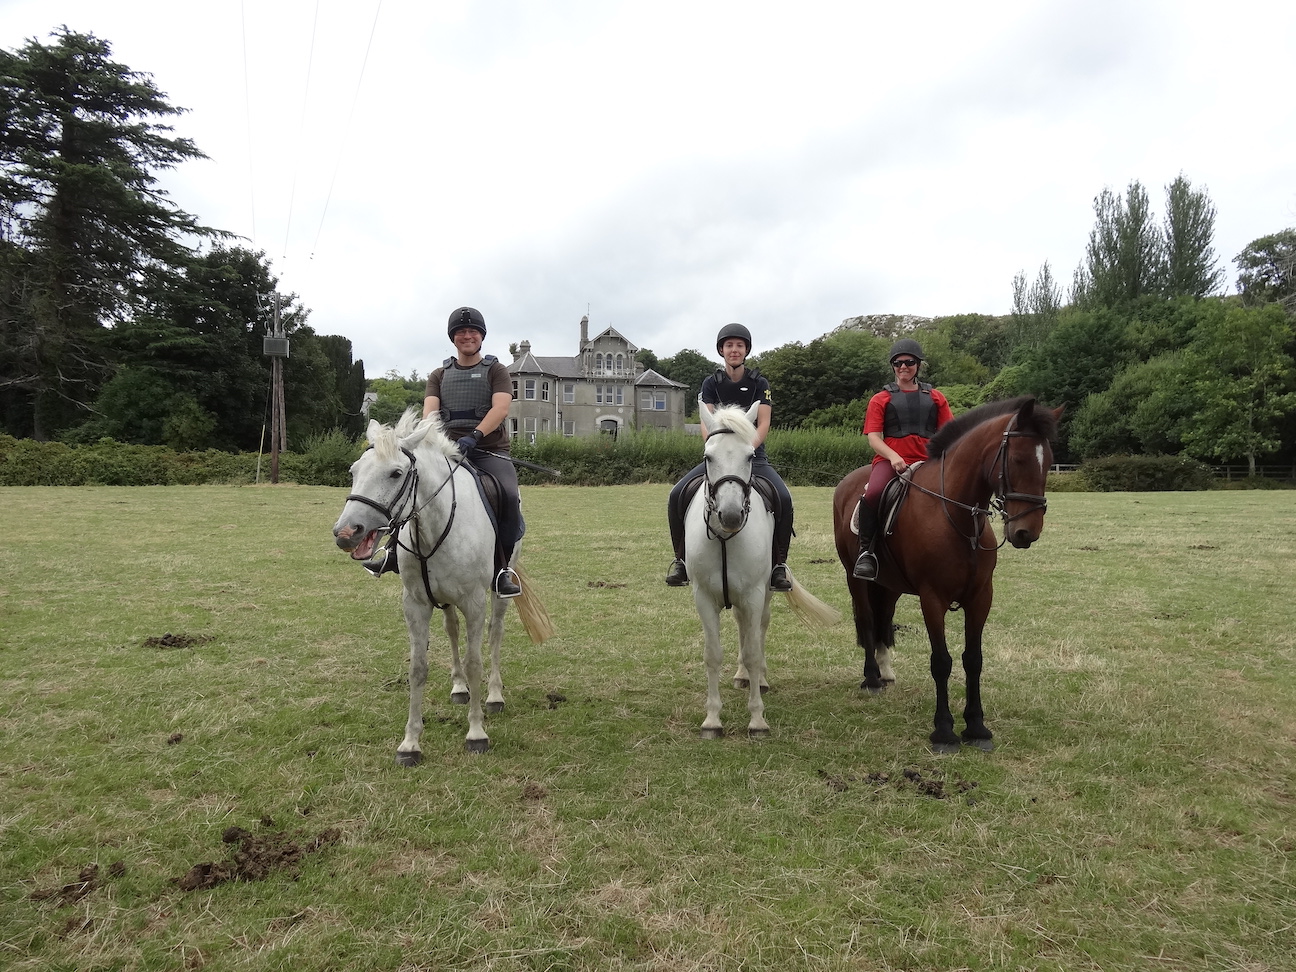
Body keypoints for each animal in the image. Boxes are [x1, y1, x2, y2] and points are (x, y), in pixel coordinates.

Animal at [329, 406, 552, 767]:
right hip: (444, 600)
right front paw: (410, 743)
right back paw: (459, 688)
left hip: (499, 590)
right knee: (451, 630)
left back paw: (494, 695)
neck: (432, 525)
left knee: (495, 634)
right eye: (354, 471)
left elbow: (475, 662)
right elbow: (418, 668)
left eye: (395, 473)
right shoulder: (416, 605)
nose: (347, 533)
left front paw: (476, 733)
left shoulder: (474, 603)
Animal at [684, 401, 834, 736]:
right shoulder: (703, 598)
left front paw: (756, 720)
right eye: (708, 457)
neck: (725, 538)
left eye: (750, 456)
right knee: (742, 627)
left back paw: (759, 680)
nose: (730, 516)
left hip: (764, 593)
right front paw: (712, 719)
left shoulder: (753, 594)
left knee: (759, 630)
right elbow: (712, 655)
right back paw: (741, 676)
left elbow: (754, 651)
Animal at [829, 396, 1062, 751]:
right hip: (855, 579)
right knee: (869, 620)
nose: (1027, 532)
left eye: (1048, 462)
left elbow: (973, 659)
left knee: (884, 618)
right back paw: (871, 678)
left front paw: (977, 726)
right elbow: (941, 661)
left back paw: (885, 671)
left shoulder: (981, 597)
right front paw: (944, 730)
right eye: (1018, 459)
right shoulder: (932, 598)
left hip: (890, 585)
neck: (957, 514)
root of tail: (847, 483)